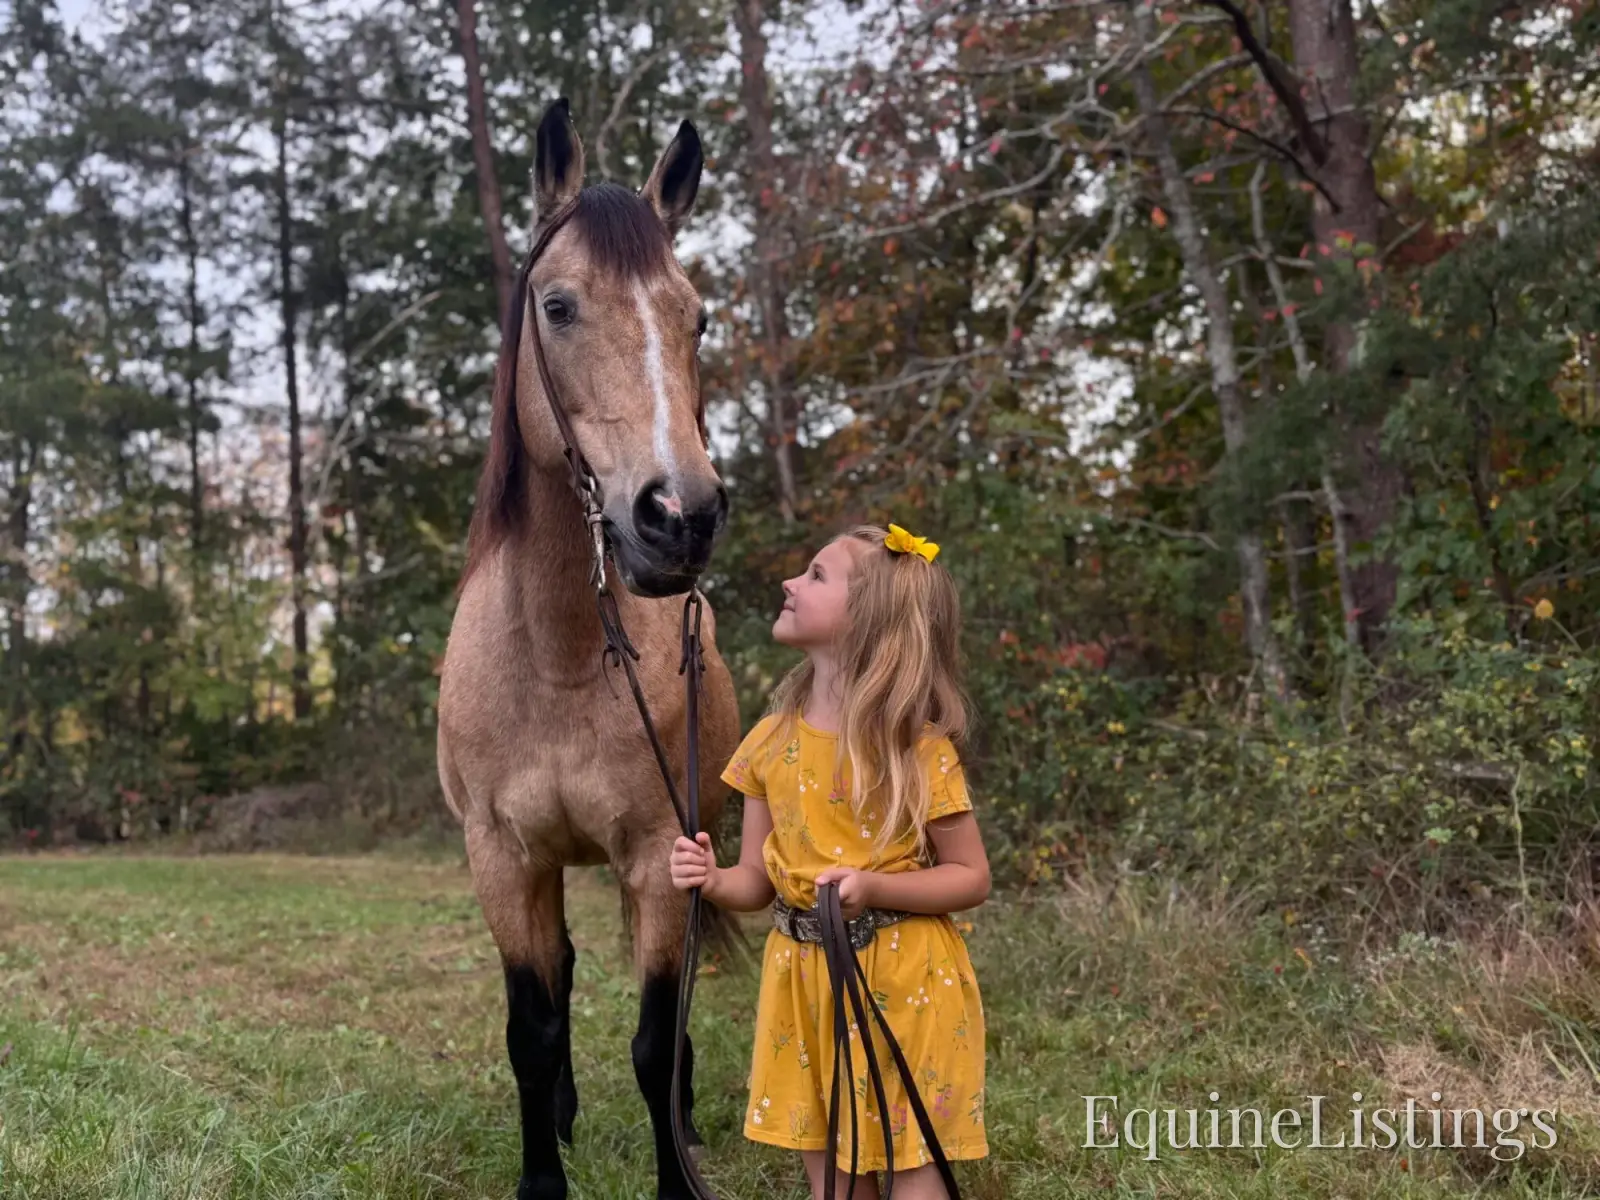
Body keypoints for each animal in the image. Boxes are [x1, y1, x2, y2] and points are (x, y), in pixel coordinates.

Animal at [437, 99, 742, 1200]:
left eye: (697, 317)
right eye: (559, 307)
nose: (678, 518)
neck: (562, 656)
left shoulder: (659, 856)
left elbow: (654, 1041)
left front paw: (677, 1170)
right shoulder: (500, 856)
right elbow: (531, 1029)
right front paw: (542, 1174)